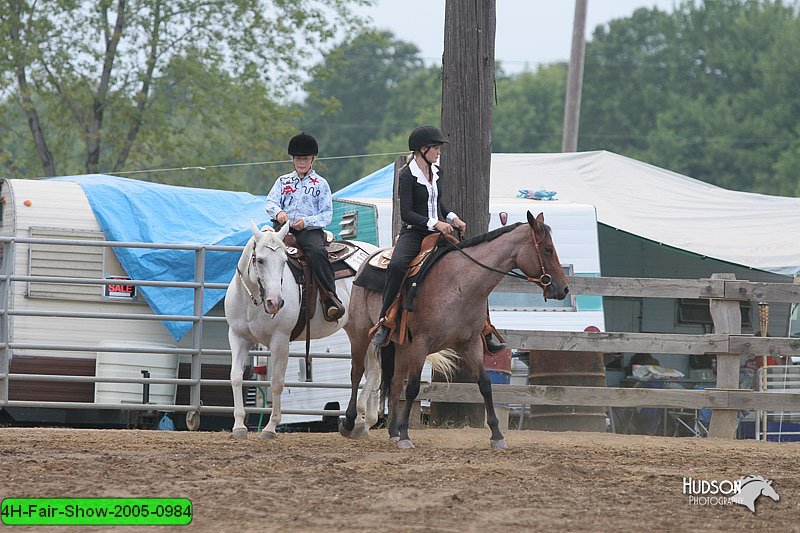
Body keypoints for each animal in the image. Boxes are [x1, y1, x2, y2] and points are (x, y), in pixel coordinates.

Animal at [225, 221, 362, 440]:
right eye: (260, 260)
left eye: (284, 261)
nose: (275, 302)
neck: (252, 302)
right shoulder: (238, 337)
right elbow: (236, 377)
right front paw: (239, 426)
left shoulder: (280, 339)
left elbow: (276, 382)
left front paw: (270, 428)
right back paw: (361, 423)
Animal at [340, 210, 572, 446]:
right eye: (547, 249)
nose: (563, 288)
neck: (459, 284)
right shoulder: (422, 343)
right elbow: (413, 387)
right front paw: (406, 433)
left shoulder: (471, 344)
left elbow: (485, 384)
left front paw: (497, 435)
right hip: (360, 335)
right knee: (357, 373)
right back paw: (351, 423)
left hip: (402, 345)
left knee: (395, 384)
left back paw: (393, 432)